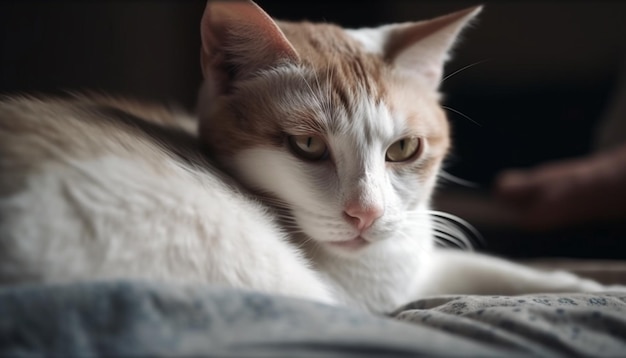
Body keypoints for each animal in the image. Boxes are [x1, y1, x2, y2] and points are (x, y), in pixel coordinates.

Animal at [0, 0, 616, 314]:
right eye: (309, 145)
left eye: (404, 149)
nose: (366, 214)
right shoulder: (386, 294)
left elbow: (512, 269)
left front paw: (597, 284)